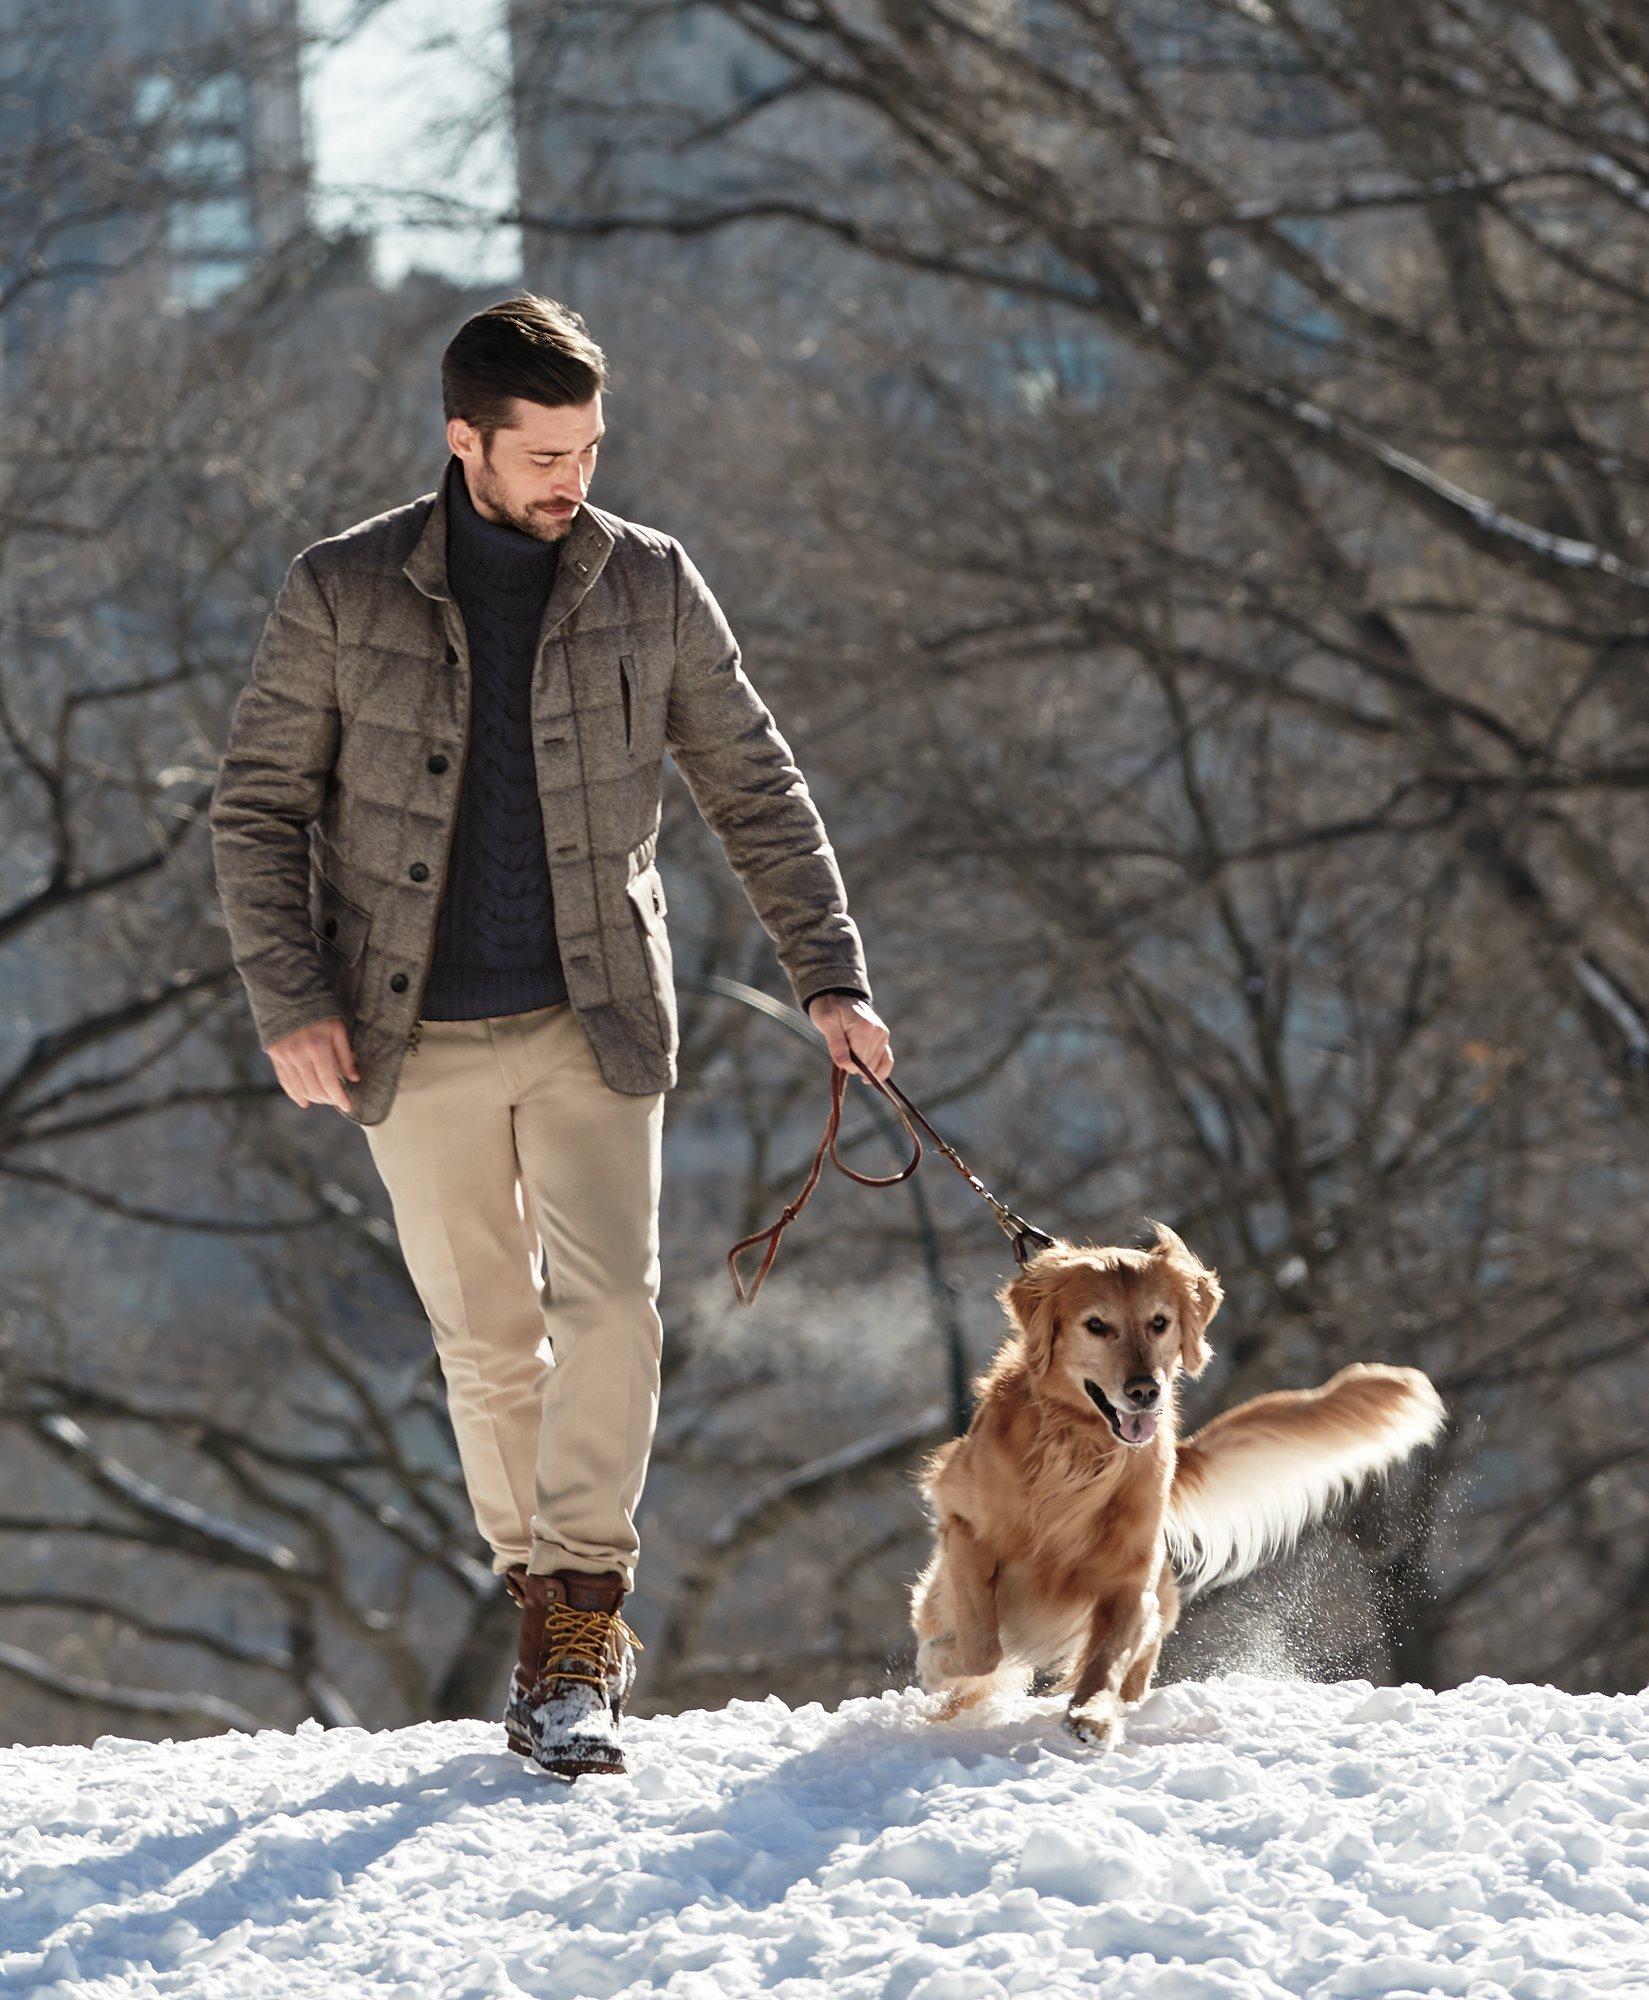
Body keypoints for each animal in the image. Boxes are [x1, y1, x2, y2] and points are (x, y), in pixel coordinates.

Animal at [908, 1208, 1448, 1744]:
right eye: (1096, 1325)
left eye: (1159, 1323)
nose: (1145, 1390)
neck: (1078, 1454)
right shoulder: (965, 1529)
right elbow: (982, 1646)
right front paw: (938, 1661)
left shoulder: (1129, 1575)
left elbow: (1106, 1656)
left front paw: (1092, 1715)